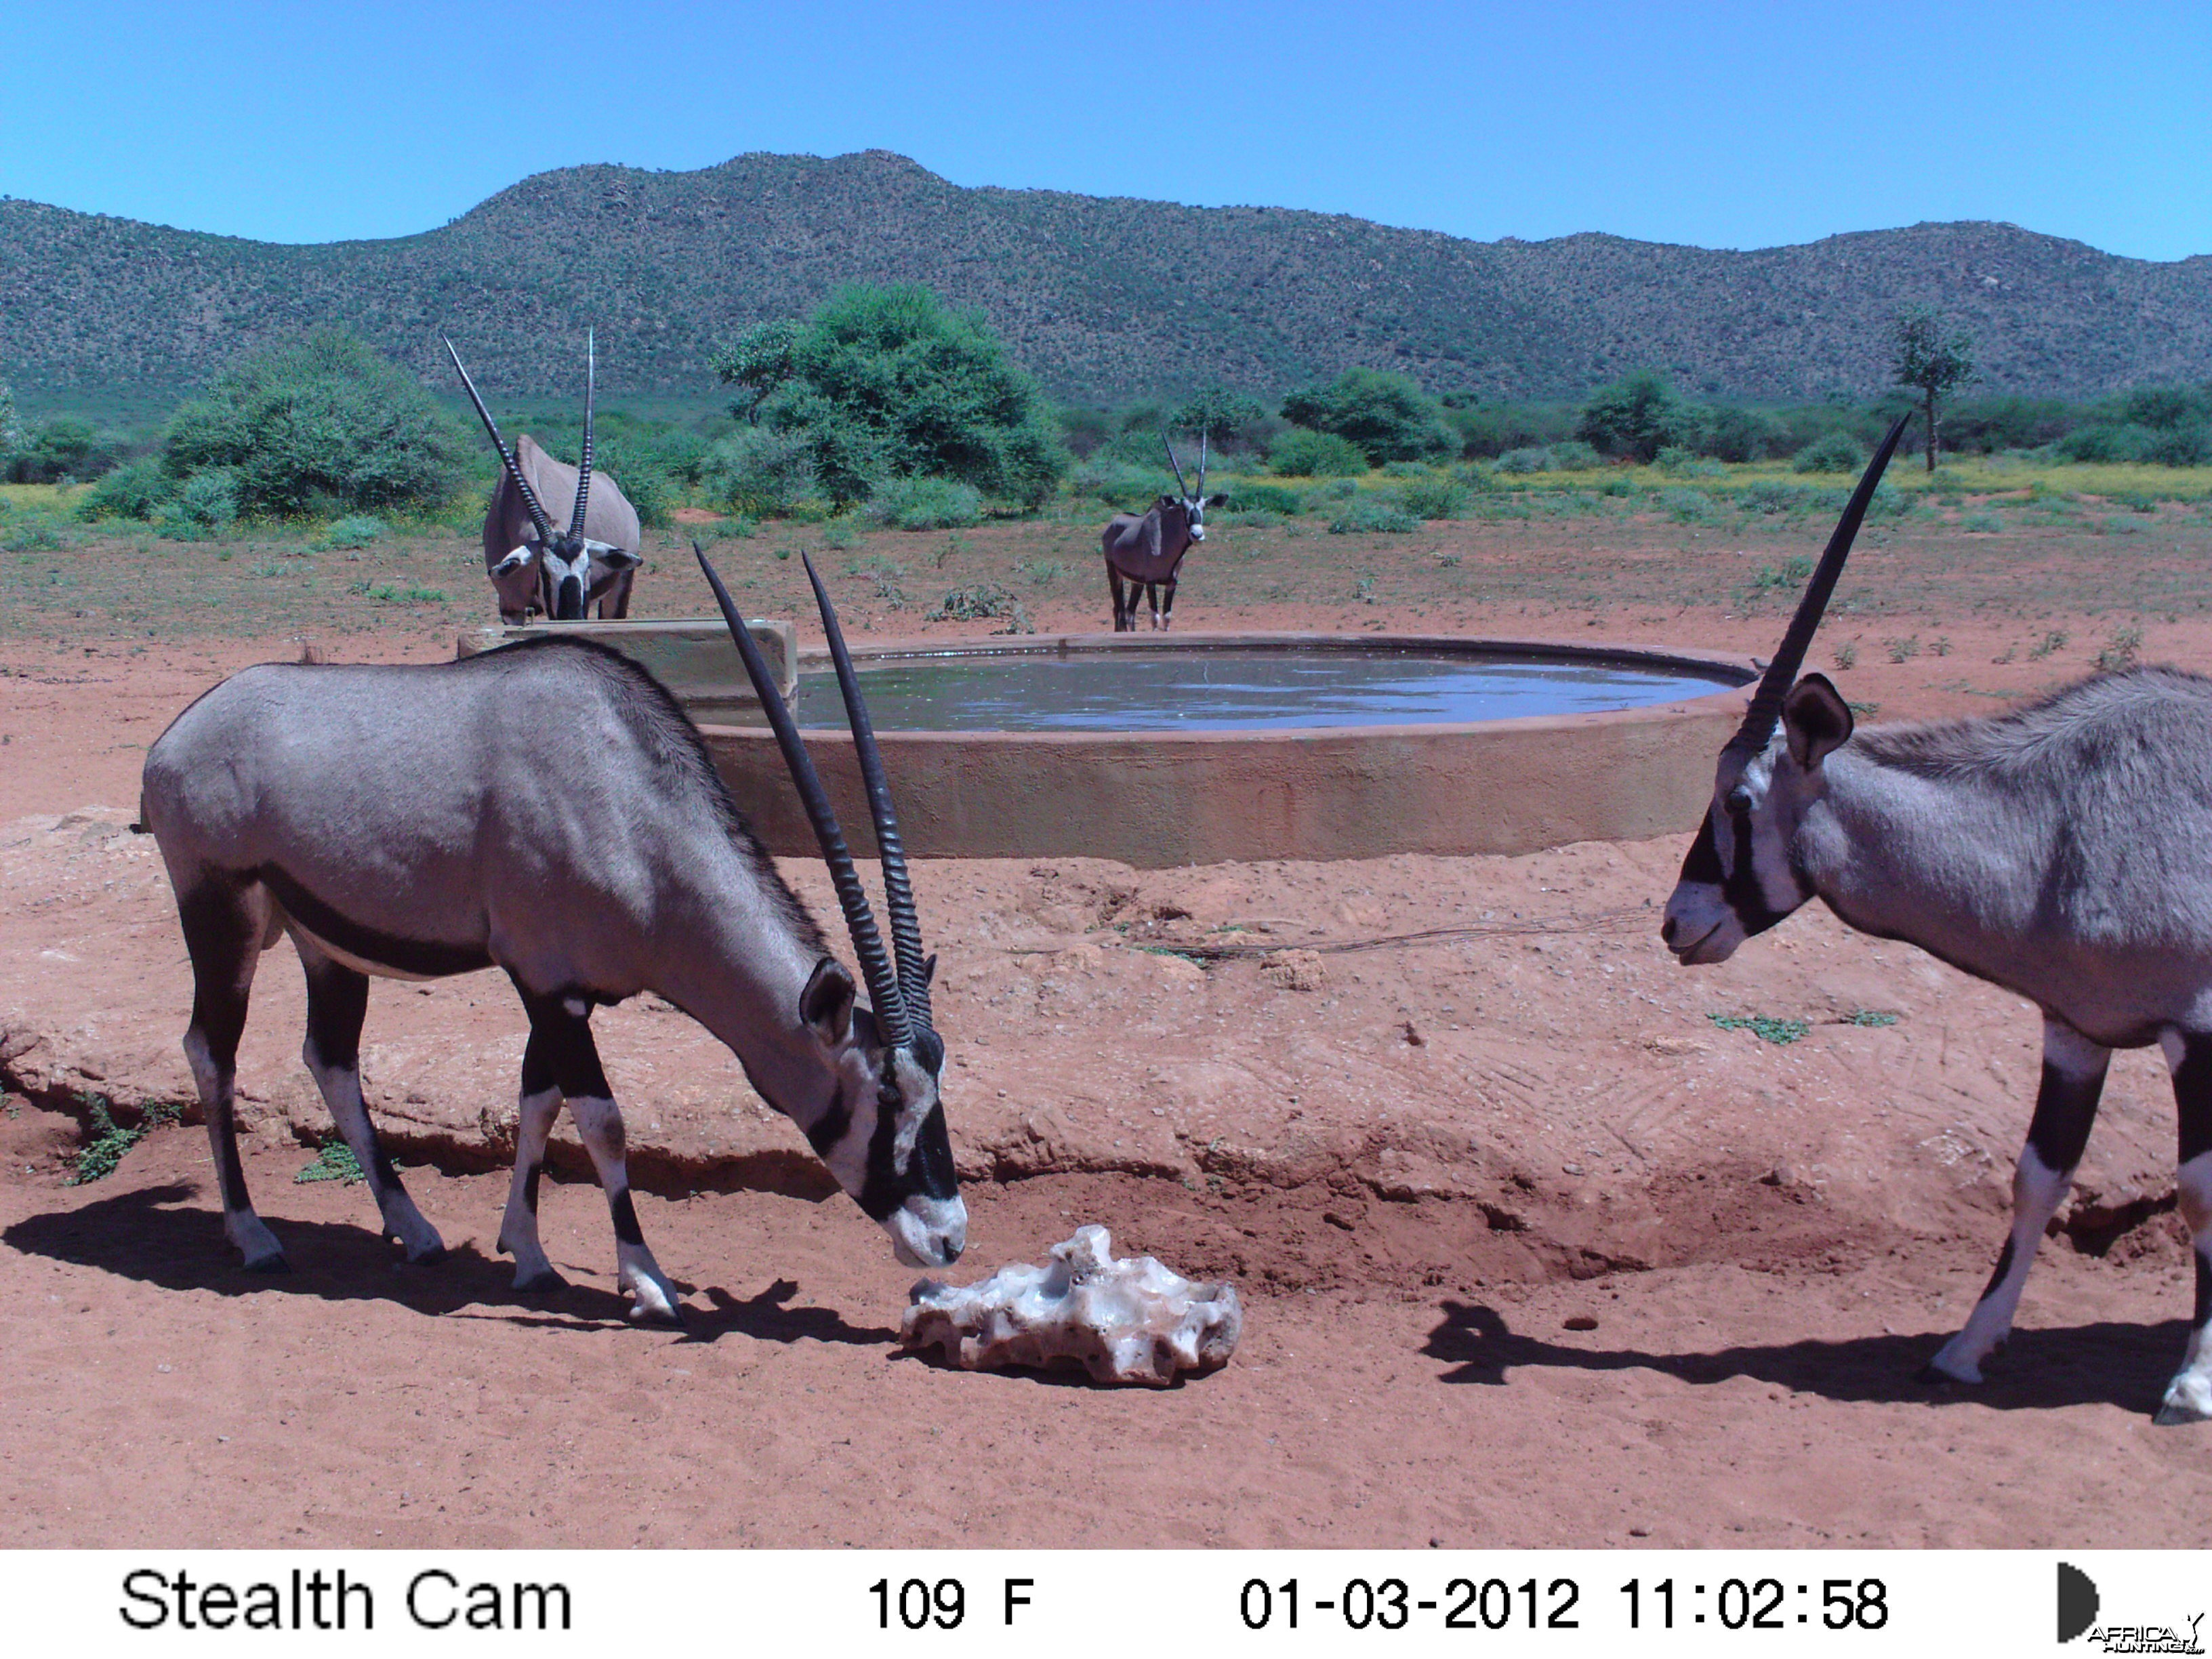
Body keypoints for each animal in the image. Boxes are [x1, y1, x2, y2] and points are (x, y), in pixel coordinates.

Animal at [138, 553, 964, 1318]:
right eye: (883, 1095)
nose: (949, 1239)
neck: (628, 800)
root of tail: (176, 736)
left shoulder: (568, 992)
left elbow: (538, 1099)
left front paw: (528, 1254)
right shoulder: (544, 982)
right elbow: (602, 1121)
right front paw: (646, 1280)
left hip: (327, 943)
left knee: (330, 1058)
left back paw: (416, 1230)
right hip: (222, 915)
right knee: (212, 1052)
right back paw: (253, 1236)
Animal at [1101, 431, 1229, 632]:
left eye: (1203, 507)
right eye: (1183, 508)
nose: (1197, 535)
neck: (1165, 541)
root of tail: (1114, 524)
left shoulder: (1171, 584)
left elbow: (1167, 617)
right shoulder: (1151, 582)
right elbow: (1155, 618)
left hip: (1136, 582)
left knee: (1129, 611)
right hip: (1114, 573)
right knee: (1119, 610)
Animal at [1663, 415, 2212, 1433]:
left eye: (1741, 802)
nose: (1678, 925)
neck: (2061, 820)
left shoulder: (2197, 1029)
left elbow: (2200, 1192)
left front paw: (2194, 1382)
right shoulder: (2077, 1029)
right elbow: (2037, 1178)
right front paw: (1963, 1351)